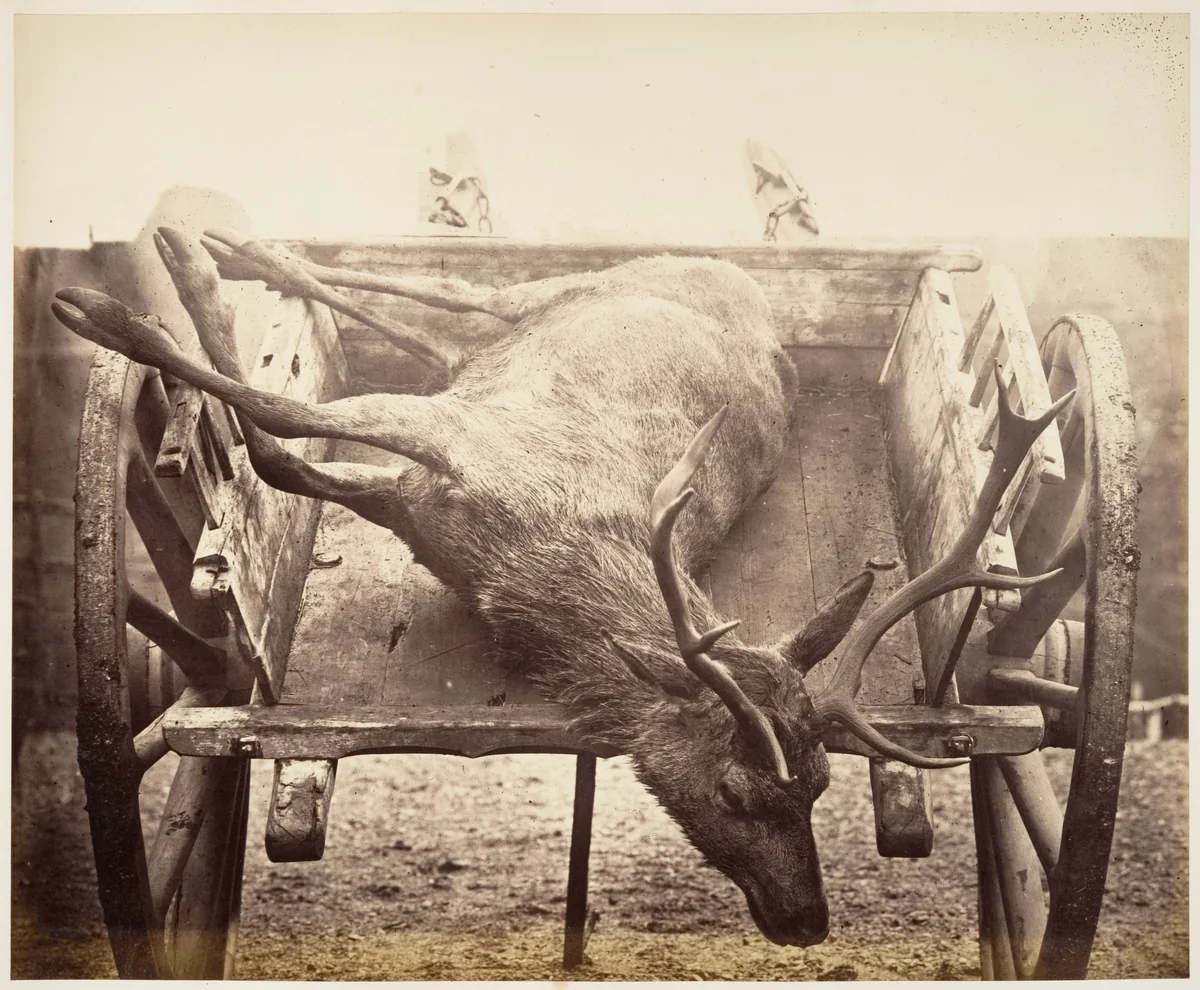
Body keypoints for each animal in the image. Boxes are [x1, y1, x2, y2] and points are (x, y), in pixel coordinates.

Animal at [52, 227, 1070, 948]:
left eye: (821, 784)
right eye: (738, 791)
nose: (808, 923)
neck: (521, 564)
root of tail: (740, 274)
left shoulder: (417, 488)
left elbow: (282, 449)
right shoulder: (449, 442)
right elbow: (279, 414)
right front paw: (117, 319)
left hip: (510, 340)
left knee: (434, 333)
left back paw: (216, 256)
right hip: (561, 293)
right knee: (451, 290)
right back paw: (210, 254)